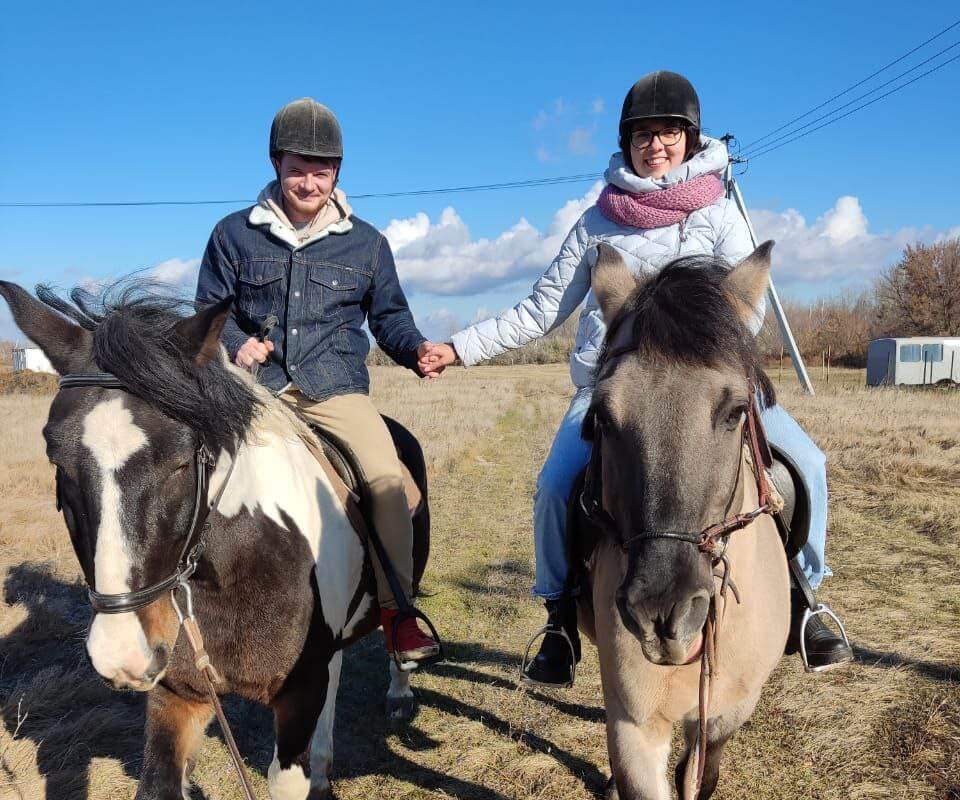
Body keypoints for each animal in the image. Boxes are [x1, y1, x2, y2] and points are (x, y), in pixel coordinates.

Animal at [0, 282, 428, 800]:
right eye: (58, 462)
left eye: (183, 461)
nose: (122, 657)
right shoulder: (179, 694)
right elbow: (159, 782)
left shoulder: (299, 694)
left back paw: (399, 692)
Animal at [572, 245, 792, 800]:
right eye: (603, 417)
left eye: (736, 411)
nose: (663, 615)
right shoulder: (634, 726)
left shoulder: (728, 713)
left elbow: (700, 774)